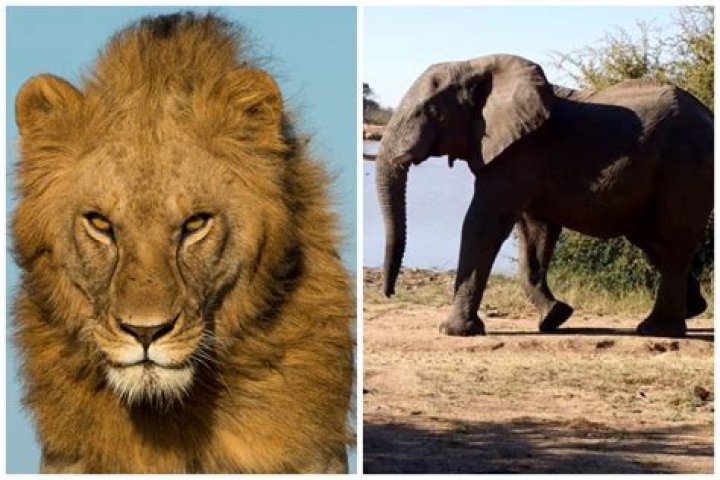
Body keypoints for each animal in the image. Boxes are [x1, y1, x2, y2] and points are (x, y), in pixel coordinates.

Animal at [369, 54, 713, 337]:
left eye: (429, 112)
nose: (390, 293)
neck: (475, 64)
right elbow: (536, 231)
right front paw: (555, 318)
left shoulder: (519, 154)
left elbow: (484, 223)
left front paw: (453, 331)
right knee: (653, 242)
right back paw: (693, 310)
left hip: (687, 165)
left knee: (672, 240)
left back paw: (657, 330)